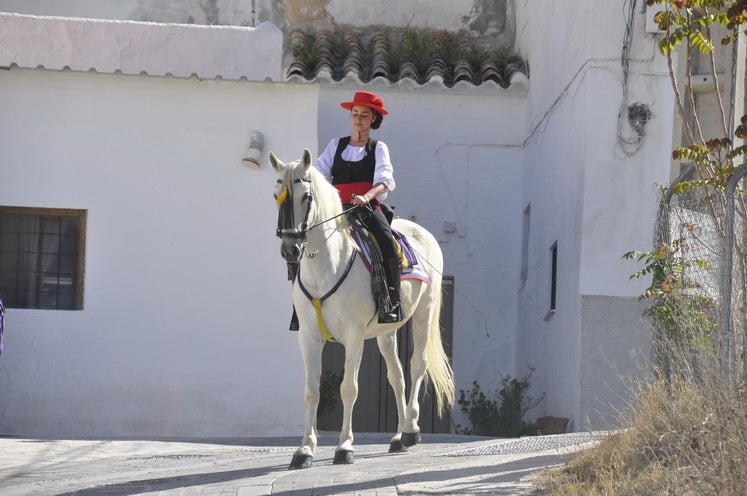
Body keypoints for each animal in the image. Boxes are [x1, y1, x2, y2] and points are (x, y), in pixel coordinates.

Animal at [270, 148, 456, 468]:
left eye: (306, 196)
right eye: (275, 195)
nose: (290, 250)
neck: (326, 265)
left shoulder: (353, 336)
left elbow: (349, 389)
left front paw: (344, 447)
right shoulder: (308, 338)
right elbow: (311, 393)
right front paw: (305, 450)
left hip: (424, 313)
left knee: (416, 365)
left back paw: (411, 430)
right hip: (386, 331)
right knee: (396, 376)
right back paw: (398, 438)